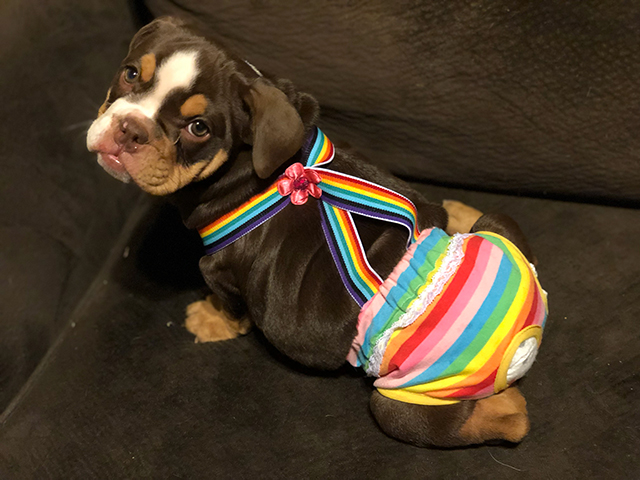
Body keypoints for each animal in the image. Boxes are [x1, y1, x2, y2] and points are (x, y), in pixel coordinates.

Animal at [86, 17, 544, 446]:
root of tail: (523, 337)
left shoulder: (219, 271)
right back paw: (459, 211)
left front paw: (208, 319)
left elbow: (229, 307)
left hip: (399, 403)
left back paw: (507, 404)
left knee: (506, 421)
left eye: (198, 127)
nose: (130, 129)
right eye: (130, 73)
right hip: (499, 229)